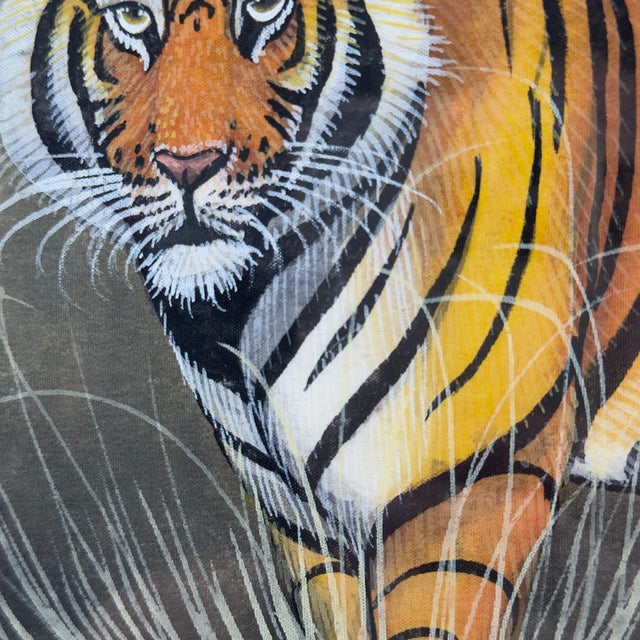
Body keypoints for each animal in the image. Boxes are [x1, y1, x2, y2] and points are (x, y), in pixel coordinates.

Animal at [1, 0, 640, 637]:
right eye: (132, 16)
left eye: (264, 9)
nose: (188, 167)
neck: (237, 316)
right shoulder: (303, 521)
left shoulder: (468, 480)